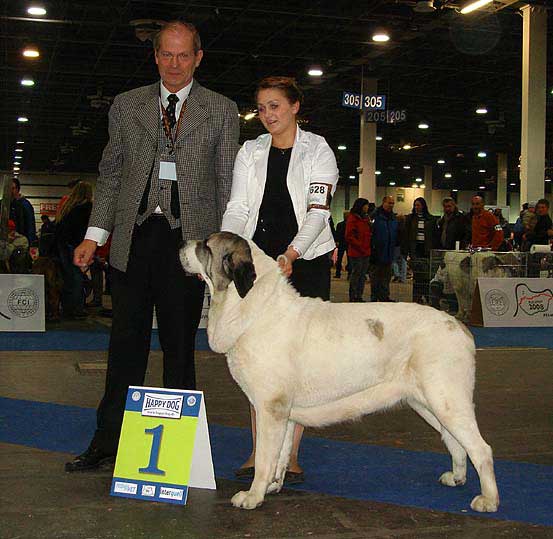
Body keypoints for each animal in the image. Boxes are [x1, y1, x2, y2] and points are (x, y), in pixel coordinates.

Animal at [179, 234, 498, 512]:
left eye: (206, 245)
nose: (182, 243)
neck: (254, 307)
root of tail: (458, 327)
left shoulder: (271, 409)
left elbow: (265, 457)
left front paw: (253, 496)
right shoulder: (285, 414)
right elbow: (280, 455)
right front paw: (273, 486)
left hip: (446, 399)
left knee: (481, 449)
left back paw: (488, 500)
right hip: (428, 403)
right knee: (455, 442)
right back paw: (456, 477)